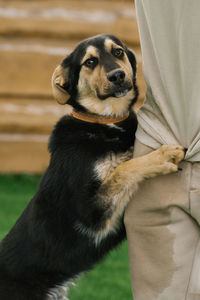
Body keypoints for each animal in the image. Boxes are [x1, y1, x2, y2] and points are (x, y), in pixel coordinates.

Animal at [0, 34, 184, 298]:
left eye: (118, 52)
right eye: (90, 62)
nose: (117, 76)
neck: (104, 121)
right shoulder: (90, 213)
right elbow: (123, 169)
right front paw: (161, 157)